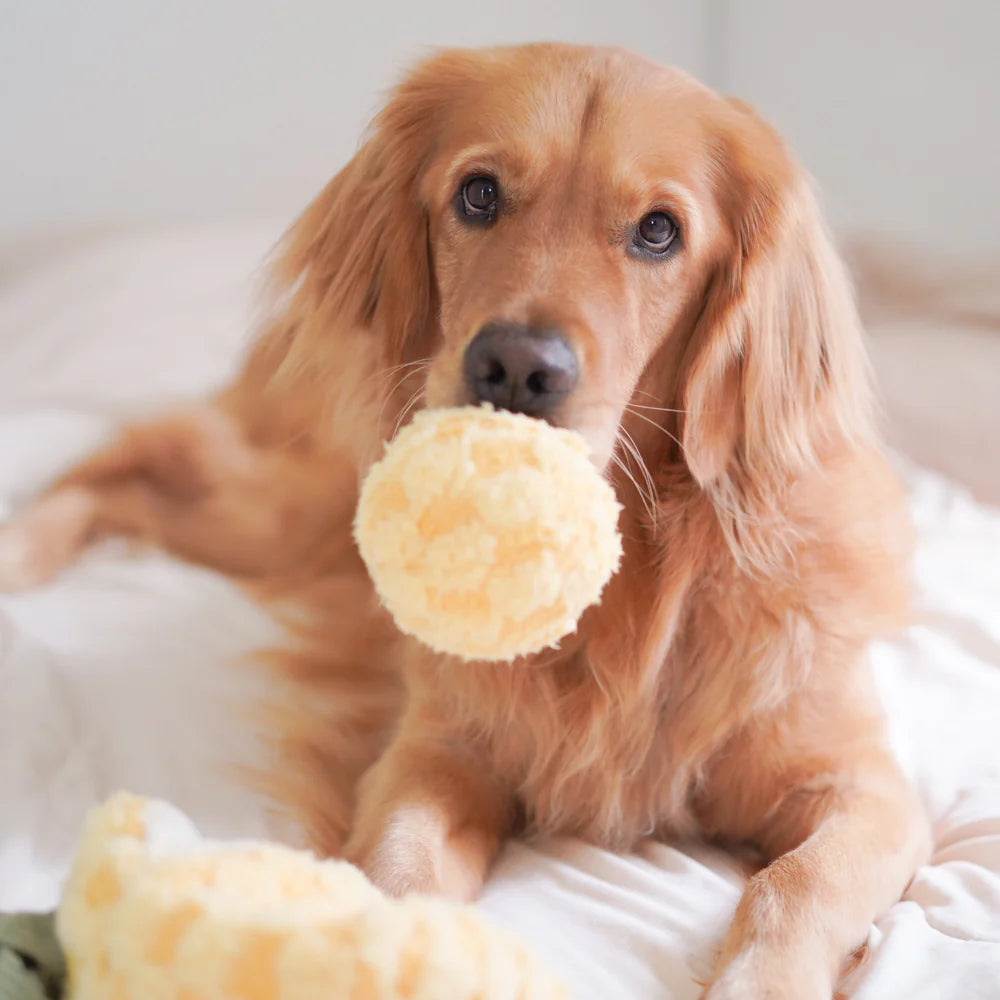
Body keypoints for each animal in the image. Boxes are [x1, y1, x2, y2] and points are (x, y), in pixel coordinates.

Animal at [3, 43, 932, 996]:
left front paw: (762, 978)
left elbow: (795, 881)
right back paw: (24, 547)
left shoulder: (866, 788)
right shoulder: (437, 756)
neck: (628, 588)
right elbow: (400, 861)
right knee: (128, 456)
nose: (517, 366)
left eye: (659, 231)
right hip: (275, 505)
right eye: (479, 193)